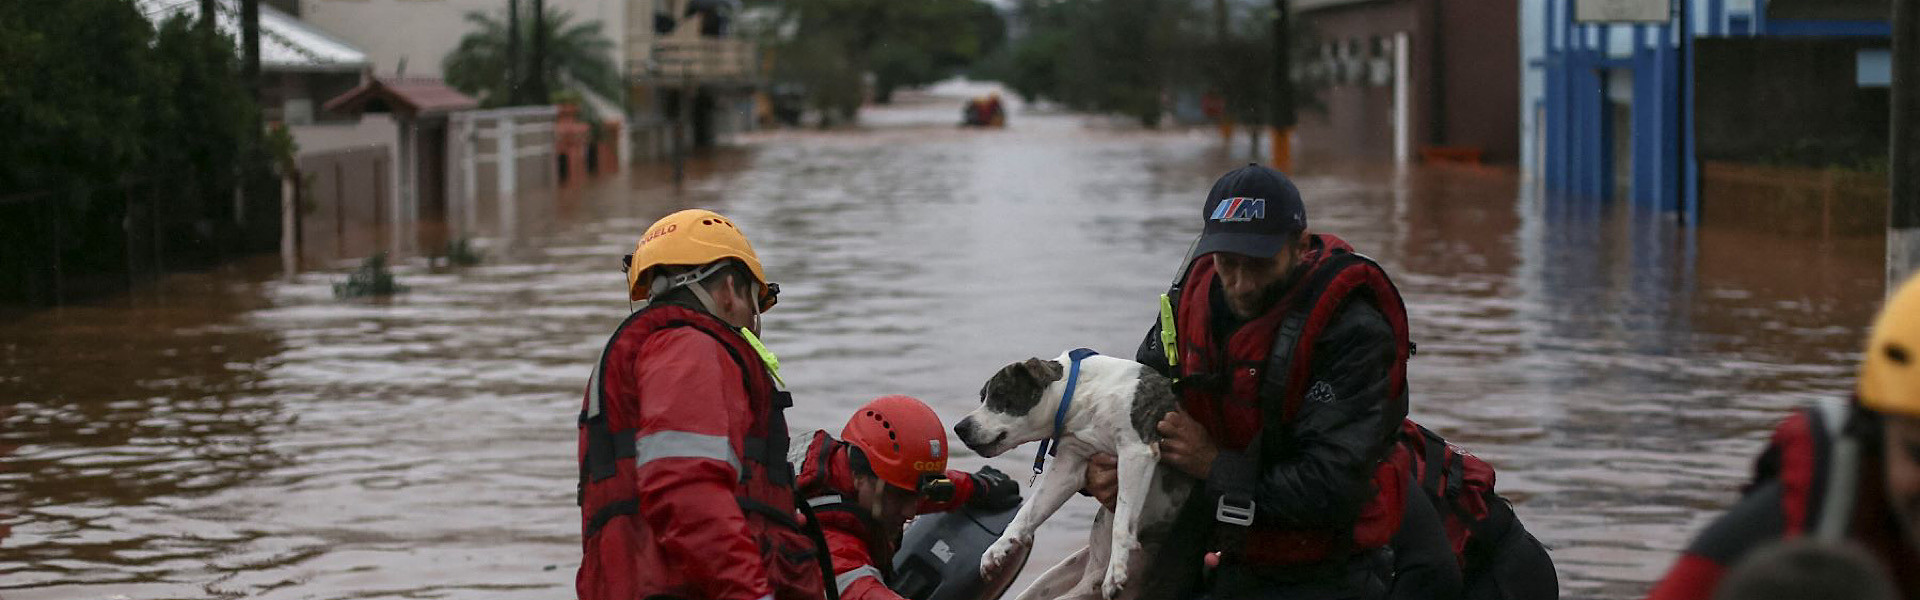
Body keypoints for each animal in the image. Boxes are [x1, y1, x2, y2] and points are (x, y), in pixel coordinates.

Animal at [952, 351, 1190, 600]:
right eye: (983, 397)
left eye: (1000, 394)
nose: (960, 428)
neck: (1081, 396)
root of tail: (1091, 576)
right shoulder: (1070, 464)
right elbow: (1029, 511)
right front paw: (998, 548)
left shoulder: (1135, 451)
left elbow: (1121, 520)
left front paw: (1116, 570)